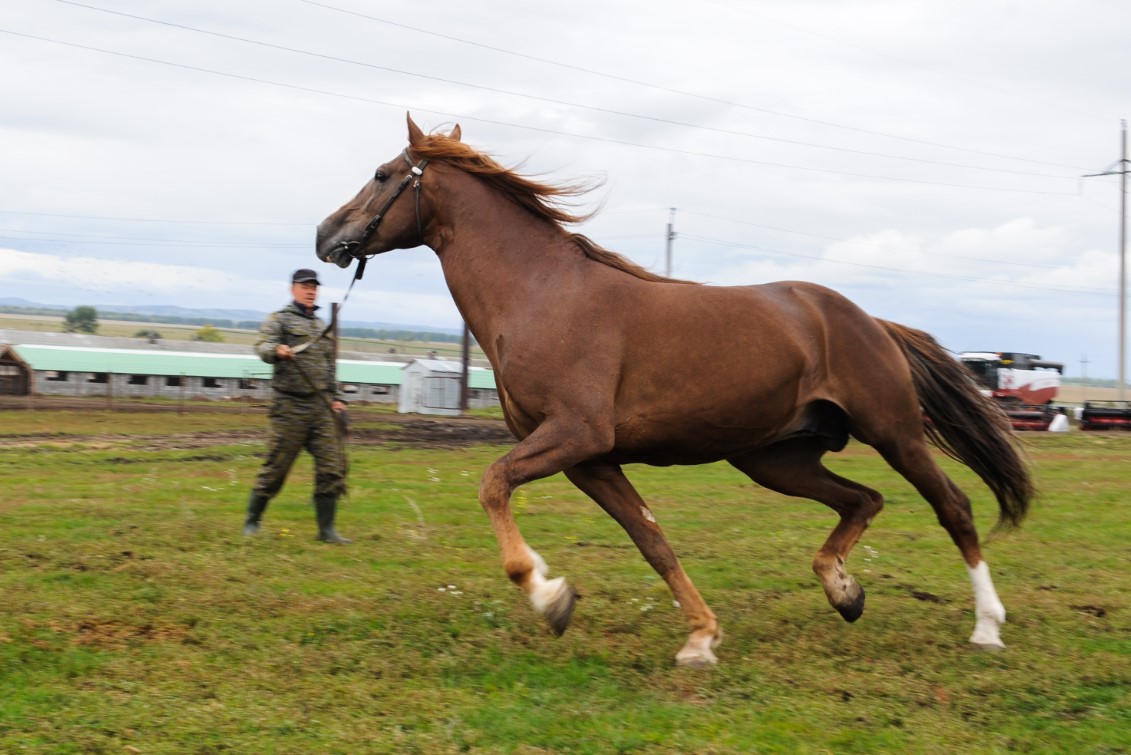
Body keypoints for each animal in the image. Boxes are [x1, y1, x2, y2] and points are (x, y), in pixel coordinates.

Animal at [314, 115, 1031, 669]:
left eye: (382, 174)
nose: (325, 235)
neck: (541, 293)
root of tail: (870, 321)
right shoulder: (591, 460)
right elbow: (652, 540)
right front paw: (699, 638)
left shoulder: (574, 436)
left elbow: (494, 486)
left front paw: (548, 595)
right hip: (774, 458)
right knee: (863, 499)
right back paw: (843, 591)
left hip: (893, 433)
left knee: (953, 506)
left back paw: (986, 626)